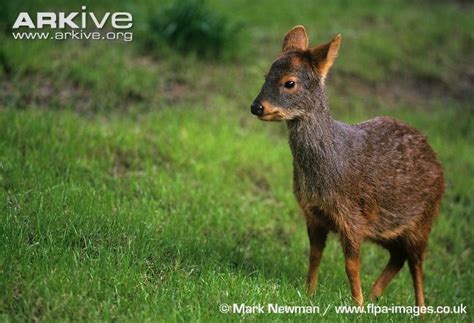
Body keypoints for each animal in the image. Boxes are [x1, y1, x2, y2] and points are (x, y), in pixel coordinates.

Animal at [250, 24, 446, 306]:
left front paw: (358, 305)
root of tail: (435, 158)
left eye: (290, 82)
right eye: (266, 75)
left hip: (423, 218)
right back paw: (376, 295)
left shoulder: (351, 215)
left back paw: (419, 309)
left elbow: (351, 265)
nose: (256, 106)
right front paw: (310, 294)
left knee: (417, 263)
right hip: (387, 227)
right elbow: (314, 255)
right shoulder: (313, 213)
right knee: (399, 256)